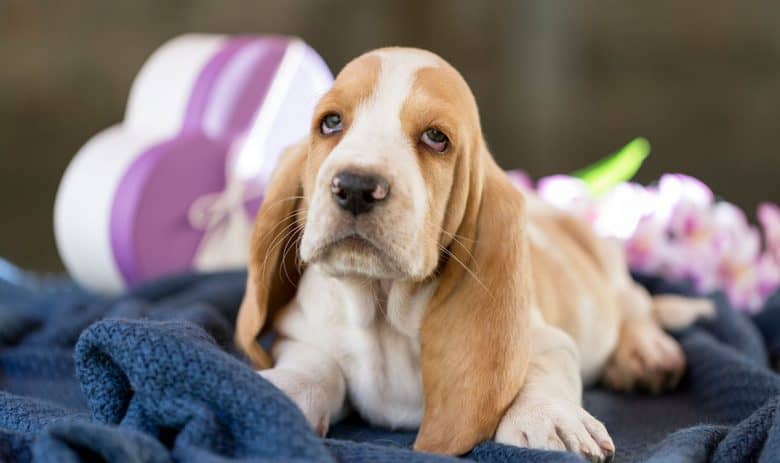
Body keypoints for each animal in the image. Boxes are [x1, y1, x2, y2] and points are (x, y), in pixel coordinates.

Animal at [233, 46, 712, 460]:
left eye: (436, 138)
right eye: (331, 123)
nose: (354, 187)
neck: (383, 308)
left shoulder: (546, 340)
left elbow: (537, 370)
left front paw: (547, 418)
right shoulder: (303, 334)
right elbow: (315, 366)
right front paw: (281, 391)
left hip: (609, 260)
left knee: (637, 305)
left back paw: (646, 353)